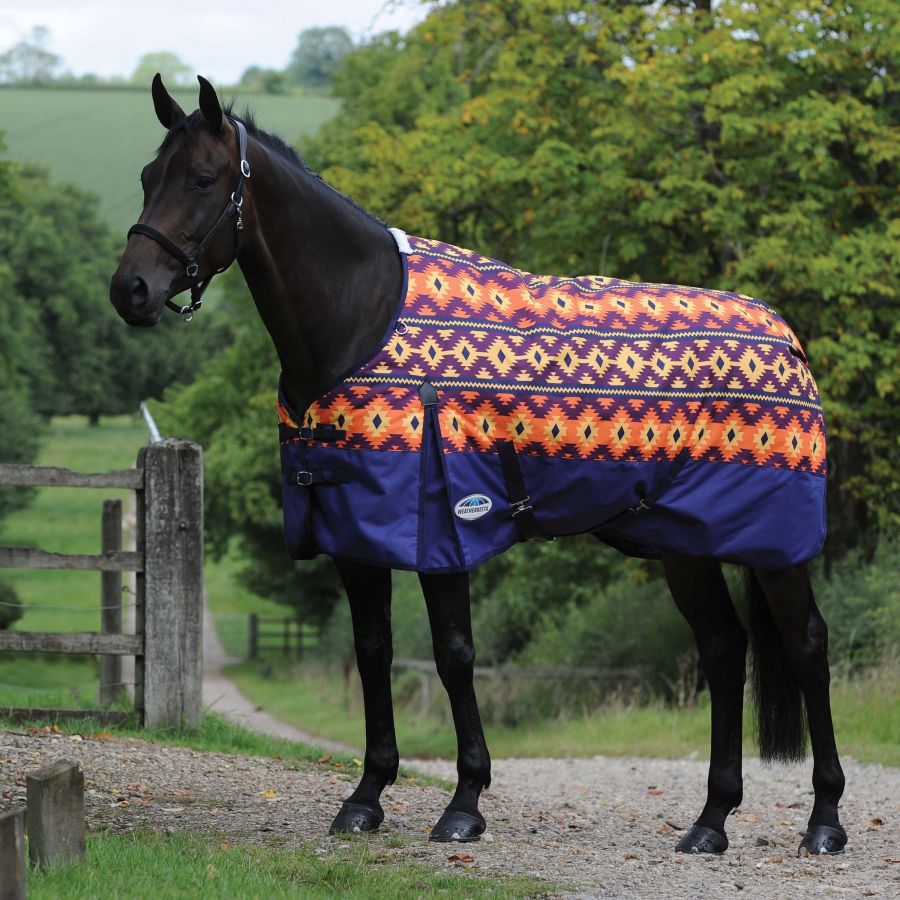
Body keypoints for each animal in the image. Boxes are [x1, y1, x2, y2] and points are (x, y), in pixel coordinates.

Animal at [110, 75, 847, 856]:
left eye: (202, 178)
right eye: (148, 177)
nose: (130, 290)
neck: (363, 316)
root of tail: (786, 338)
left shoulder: (444, 529)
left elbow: (454, 654)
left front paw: (464, 803)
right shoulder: (355, 535)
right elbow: (372, 651)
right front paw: (365, 798)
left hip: (774, 548)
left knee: (805, 646)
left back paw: (825, 821)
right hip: (686, 543)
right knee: (724, 650)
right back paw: (710, 822)